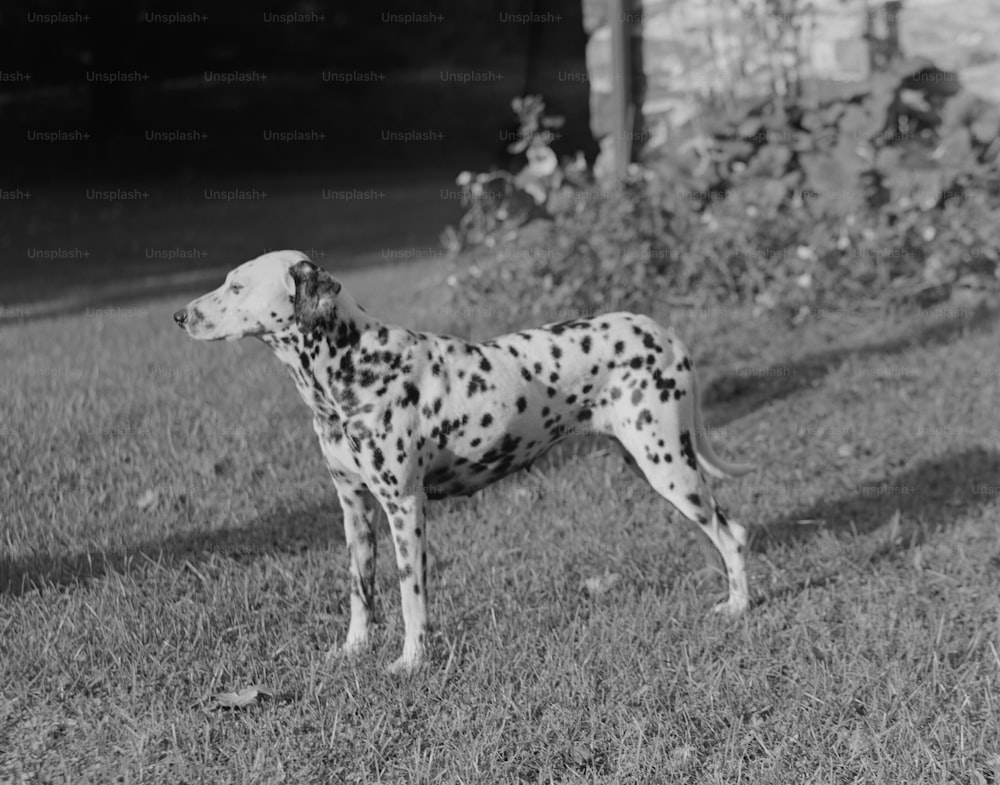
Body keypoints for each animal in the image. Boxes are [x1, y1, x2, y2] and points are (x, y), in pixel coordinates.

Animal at [174, 248, 752, 672]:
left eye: (237, 286)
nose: (180, 315)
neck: (357, 367)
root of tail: (664, 332)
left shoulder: (404, 507)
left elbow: (410, 596)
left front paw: (411, 662)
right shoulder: (354, 508)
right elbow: (361, 593)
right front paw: (353, 651)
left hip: (667, 466)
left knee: (734, 534)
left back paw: (740, 607)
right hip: (649, 462)